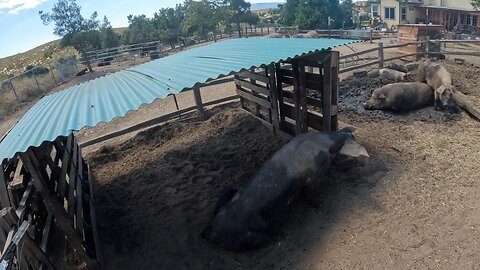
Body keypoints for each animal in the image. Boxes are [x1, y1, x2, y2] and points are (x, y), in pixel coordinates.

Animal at [201, 129, 370, 251]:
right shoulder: (313, 176)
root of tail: (215, 229)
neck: (325, 145)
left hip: (226, 194)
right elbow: (310, 194)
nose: (362, 164)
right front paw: (319, 205)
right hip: (245, 238)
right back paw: (279, 234)